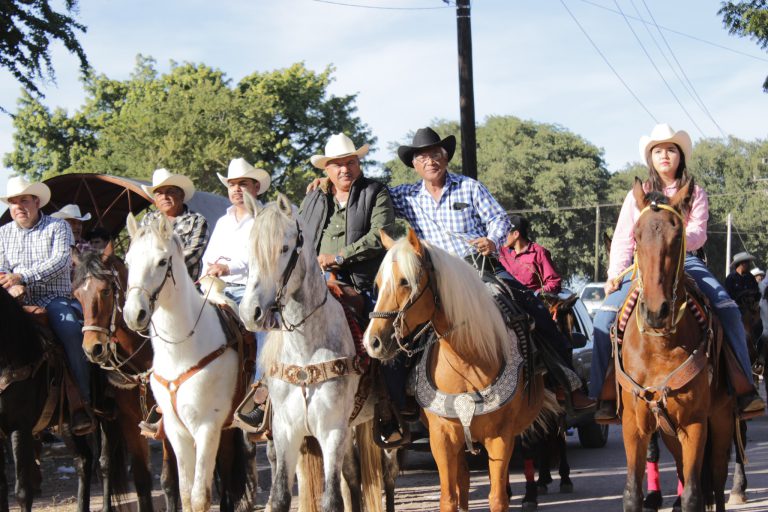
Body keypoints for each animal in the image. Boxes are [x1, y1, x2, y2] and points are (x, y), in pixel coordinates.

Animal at [124, 214, 249, 510]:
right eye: (127, 261)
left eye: (162, 261)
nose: (134, 314)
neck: (182, 350)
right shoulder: (176, 430)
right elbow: (185, 492)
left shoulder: (206, 427)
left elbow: (200, 496)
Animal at [238, 195, 382, 512]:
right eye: (249, 249)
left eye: (284, 248)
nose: (251, 312)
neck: (306, 352)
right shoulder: (285, 431)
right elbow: (280, 496)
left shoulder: (332, 431)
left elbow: (331, 500)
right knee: (353, 476)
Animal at [364, 230, 548, 510]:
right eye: (377, 283)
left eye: (405, 282)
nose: (372, 341)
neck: (468, 360)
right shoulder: (442, 438)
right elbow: (449, 497)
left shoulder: (501, 438)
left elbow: (497, 498)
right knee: (463, 480)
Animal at [616, 179, 736, 512]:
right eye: (637, 235)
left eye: (678, 235)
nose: (657, 311)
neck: (660, 346)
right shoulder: (635, 424)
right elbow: (632, 492)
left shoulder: (695, 424)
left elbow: (695, 494)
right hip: (670, 430)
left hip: (721, 421)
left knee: (716, 481)